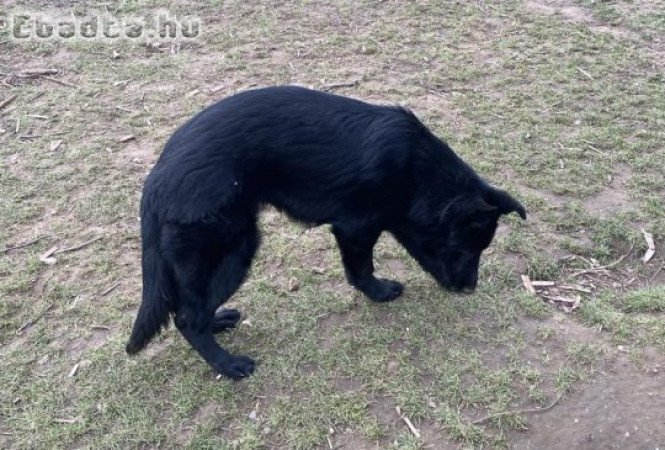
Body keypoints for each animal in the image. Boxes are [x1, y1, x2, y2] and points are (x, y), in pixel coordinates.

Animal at [127, 85, 528, 380]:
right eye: (463, 250)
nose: (469, 289)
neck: (418, 174)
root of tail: (158, 180)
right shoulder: (355, 229)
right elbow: (360, 268)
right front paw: (378, 292)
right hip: (236, 248)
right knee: (186, 318)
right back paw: (227, 364)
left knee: (192, 308)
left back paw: (219, 323)